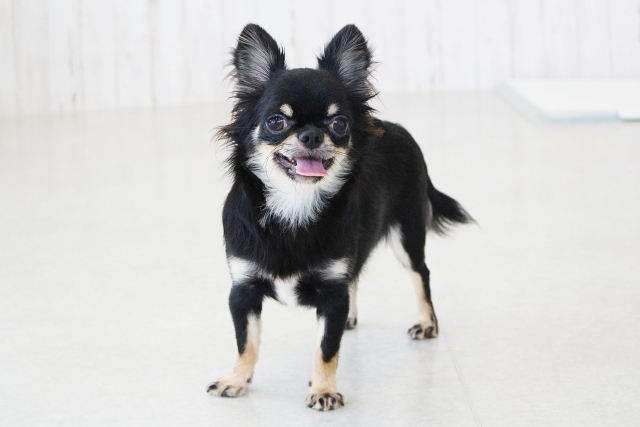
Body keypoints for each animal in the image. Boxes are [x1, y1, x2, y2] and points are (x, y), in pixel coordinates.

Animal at [207, 24, 471, 411]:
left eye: (339, 123)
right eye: (276, 121)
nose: (312, 134)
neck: (295, 204)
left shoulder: (332, 290)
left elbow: (326, 349)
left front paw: (323, 390)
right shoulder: (243, 289)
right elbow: (246, 342)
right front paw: (236, 380)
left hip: (406, 233)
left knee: (420, 273)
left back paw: (426, 323)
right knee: (357, 276)